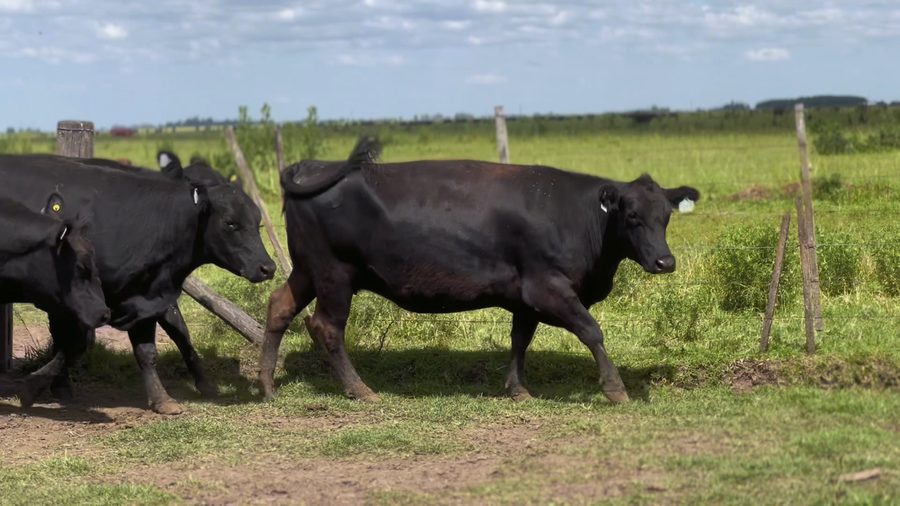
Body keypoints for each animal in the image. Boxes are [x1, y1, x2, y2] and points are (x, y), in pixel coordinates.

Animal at [0, 154, 276, 414]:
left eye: (258, 222)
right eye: (230, 222)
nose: (268, 267)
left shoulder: (145, 296)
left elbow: (154, 347)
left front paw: (164, 398)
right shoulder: (79, 299)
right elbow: (76, 344)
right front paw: (35, 388)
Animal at [257, 136, 699, 404]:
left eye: (666, 216)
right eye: (632, 215)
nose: (666, 261)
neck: (578, 215)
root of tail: (310, 166)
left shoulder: (524, 296)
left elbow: (520, 339)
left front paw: (518, 389)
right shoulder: (548, 287)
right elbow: (592, 331)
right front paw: (615, 388)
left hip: (308, 270)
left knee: (279, 306)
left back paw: (267, 384)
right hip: (335, 275)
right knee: (327, 327)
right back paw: (359, 389)